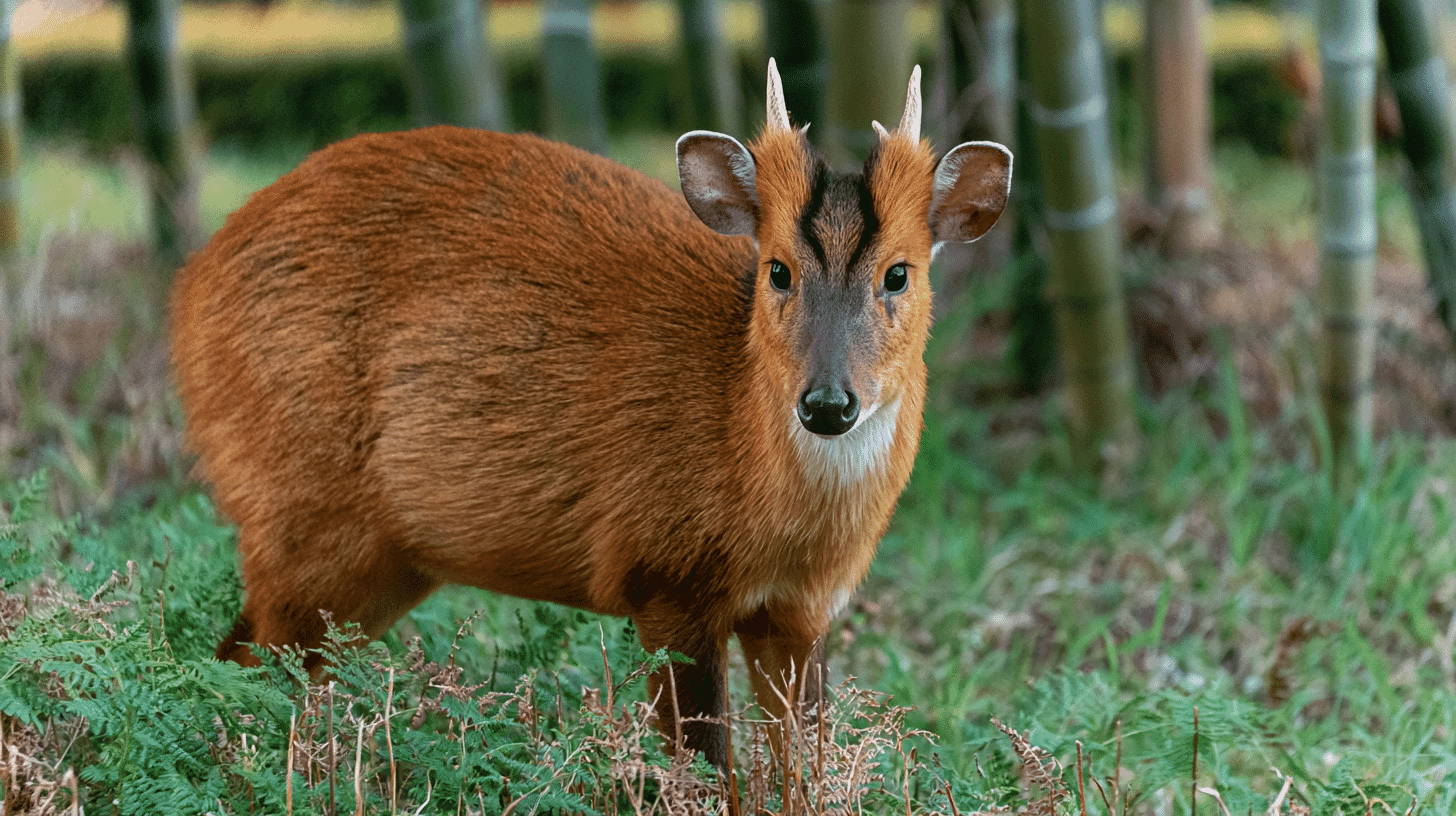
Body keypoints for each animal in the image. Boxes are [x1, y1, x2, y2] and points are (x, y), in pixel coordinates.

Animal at [170, 60, 1011, 771]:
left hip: (379, 562)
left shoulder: (803, 614)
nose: (828, 402)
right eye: (777, 270)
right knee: (243, 673)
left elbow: (805, 772)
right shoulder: (663, 577)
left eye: (898, 274)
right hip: (299, 517)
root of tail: (192, 288)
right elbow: (703, 773)